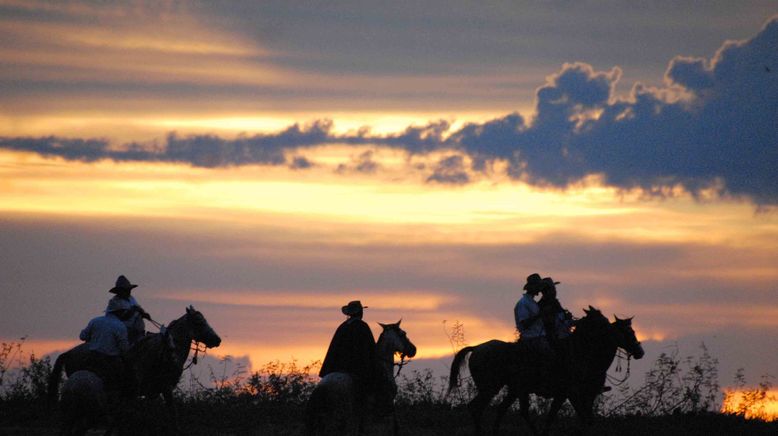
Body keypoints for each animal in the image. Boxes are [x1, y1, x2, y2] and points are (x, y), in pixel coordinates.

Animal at [448, 308, 644, 434]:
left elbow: (583, 418)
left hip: (513, 389)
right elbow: (570, 416)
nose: (640, 352)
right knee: (476, 408)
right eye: (627, 332)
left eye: (633, 331)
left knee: (503, 409)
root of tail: (476, 348)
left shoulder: (582, 394)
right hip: (491, 388)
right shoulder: (570, 393)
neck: (580, 352)